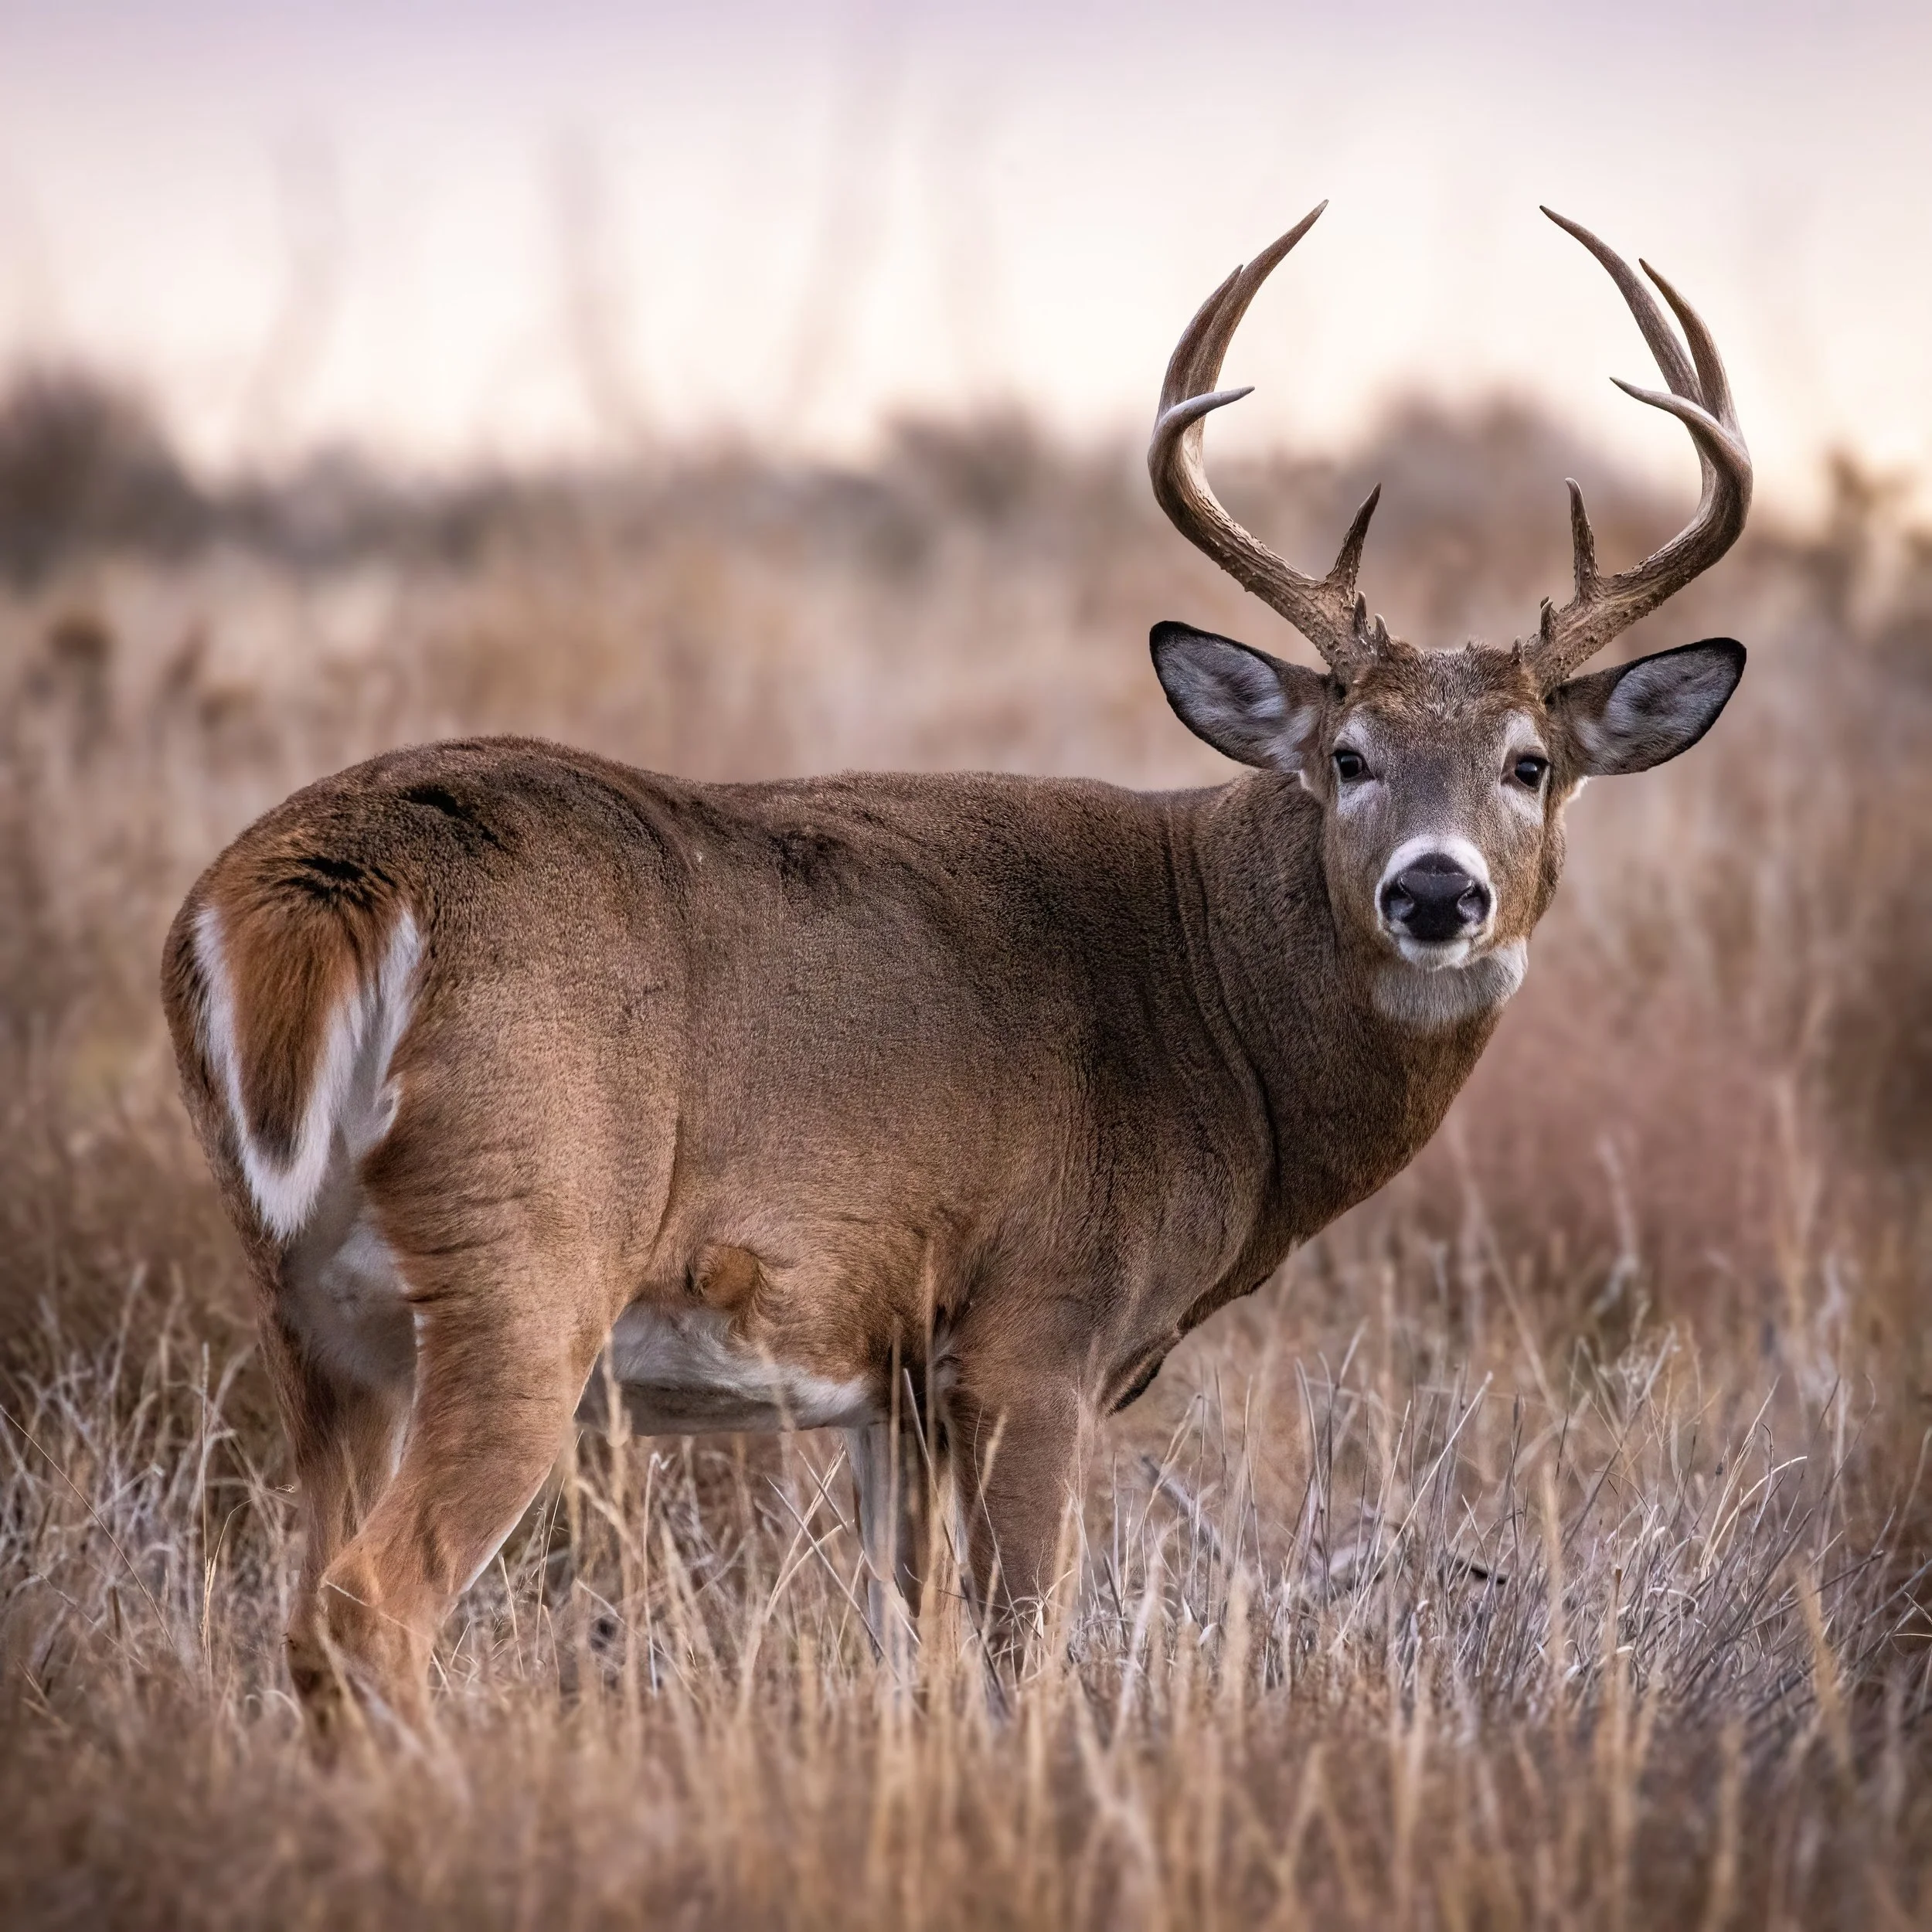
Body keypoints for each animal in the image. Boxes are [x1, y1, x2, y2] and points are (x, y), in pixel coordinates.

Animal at [161, 203, 1751, 1731]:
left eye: (1531, 764)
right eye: (1348, 756)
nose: (1434, 889)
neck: (1215, 1012)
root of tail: (314, 881)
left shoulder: (896, 1382)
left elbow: (907, 1657)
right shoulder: (1036, 1329)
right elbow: (1017, 1652)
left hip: (312, 1311)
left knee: (301, 1592)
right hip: (525, 1259)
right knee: (366, 1609)